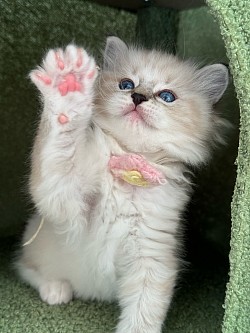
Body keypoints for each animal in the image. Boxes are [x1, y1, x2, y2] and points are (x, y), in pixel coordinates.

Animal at [16, 37, 229, 332]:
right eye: (126, 84)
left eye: (167, 96)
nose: (137, 97)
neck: (130, 165)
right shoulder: (64, 200)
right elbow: (62, 148)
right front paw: (68, 86)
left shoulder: (152, 257)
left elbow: (142, 315)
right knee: (25, 267)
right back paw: (56, 288)